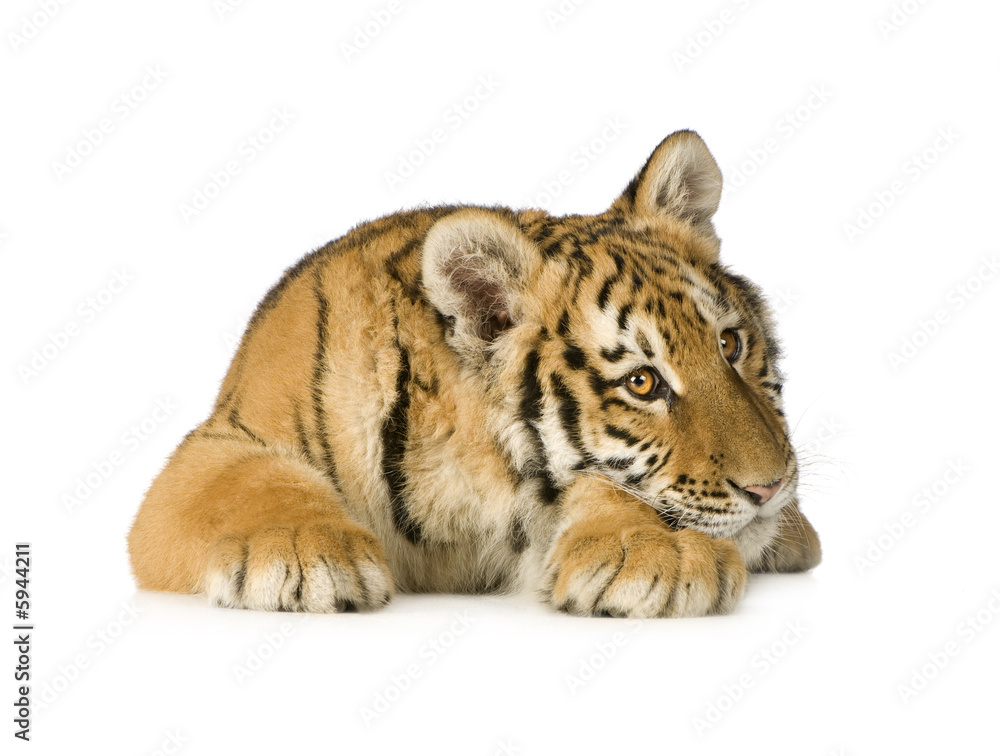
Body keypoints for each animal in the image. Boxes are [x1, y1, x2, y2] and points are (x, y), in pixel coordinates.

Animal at [127, 129, 821, 618]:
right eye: (641, 383)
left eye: (730, 344)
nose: (770, 488)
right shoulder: (214, 446)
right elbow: (250, 481)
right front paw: (305, 551)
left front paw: (661, 553)